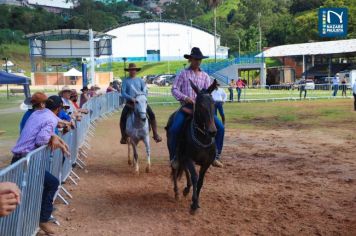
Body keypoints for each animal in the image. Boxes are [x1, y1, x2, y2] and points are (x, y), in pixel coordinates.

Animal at [166, 79, 217, 212]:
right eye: (200, 105)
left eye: (214, 104)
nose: (212, 131)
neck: (202, 138)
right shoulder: (189, 158)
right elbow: (194, 176)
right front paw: (194, 204)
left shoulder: (206, 162)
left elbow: (200, 181)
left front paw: (196, 202)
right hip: (174, 153)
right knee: (175, 169)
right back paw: (177, 192)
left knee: (184, 169)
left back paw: (186, 189)